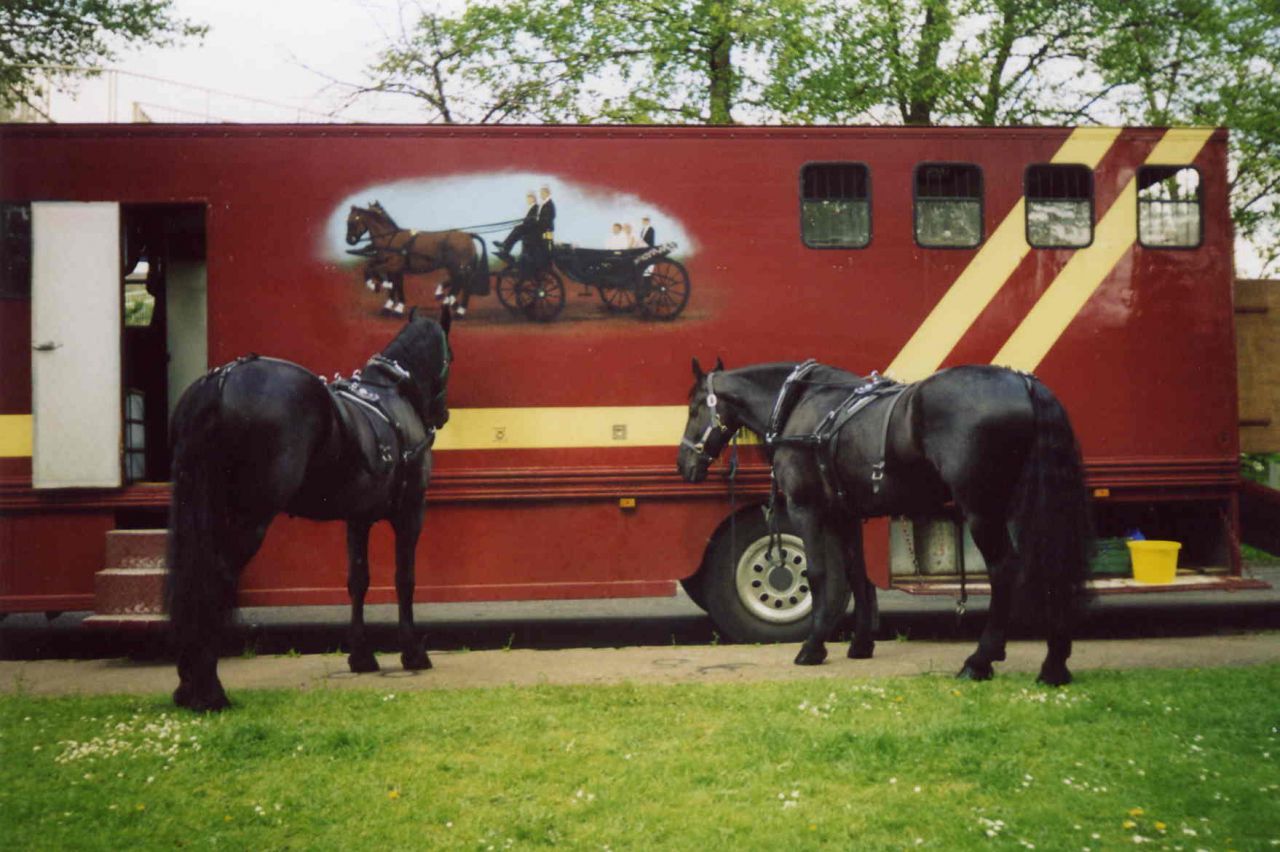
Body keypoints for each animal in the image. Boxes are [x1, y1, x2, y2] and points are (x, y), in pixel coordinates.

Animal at [166, 310, 453, 712]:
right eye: (449, 358)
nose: (442, 415)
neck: (390, 394)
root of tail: (221, 383)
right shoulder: (410, 513)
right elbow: (404, 579)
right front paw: (413, 653)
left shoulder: (358, 518)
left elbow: (358, 581)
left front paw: (360, 656)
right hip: (249, 517)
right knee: (216, 577)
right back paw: (209, 690)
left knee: (192, 578)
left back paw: (188, 684)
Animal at [345, 202, 488, 317]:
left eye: (352, 221)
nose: (349, 240)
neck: (390, 239)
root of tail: (468, 235)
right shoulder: (394, 268)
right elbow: (389, 281)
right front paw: (391, 306)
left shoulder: (394, 266)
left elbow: (374, 271)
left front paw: (376, 286)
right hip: (455, 268)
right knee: (459, 284)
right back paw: (448, 301)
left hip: (459, 268)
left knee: (463, 285)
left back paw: (457, 309)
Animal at [677, 359, 1092, 685]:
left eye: (695, 408)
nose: (684, 465)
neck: (803, 406)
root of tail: (1024, 382)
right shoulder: (846, 515)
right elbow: (857, 575)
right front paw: (861, 644)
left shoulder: (806, 509)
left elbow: (818, 574)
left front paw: (812, 647)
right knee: (1049, 567)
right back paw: (1054, 665)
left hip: (982, 510)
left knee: (1005, 571)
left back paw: (980, 660)